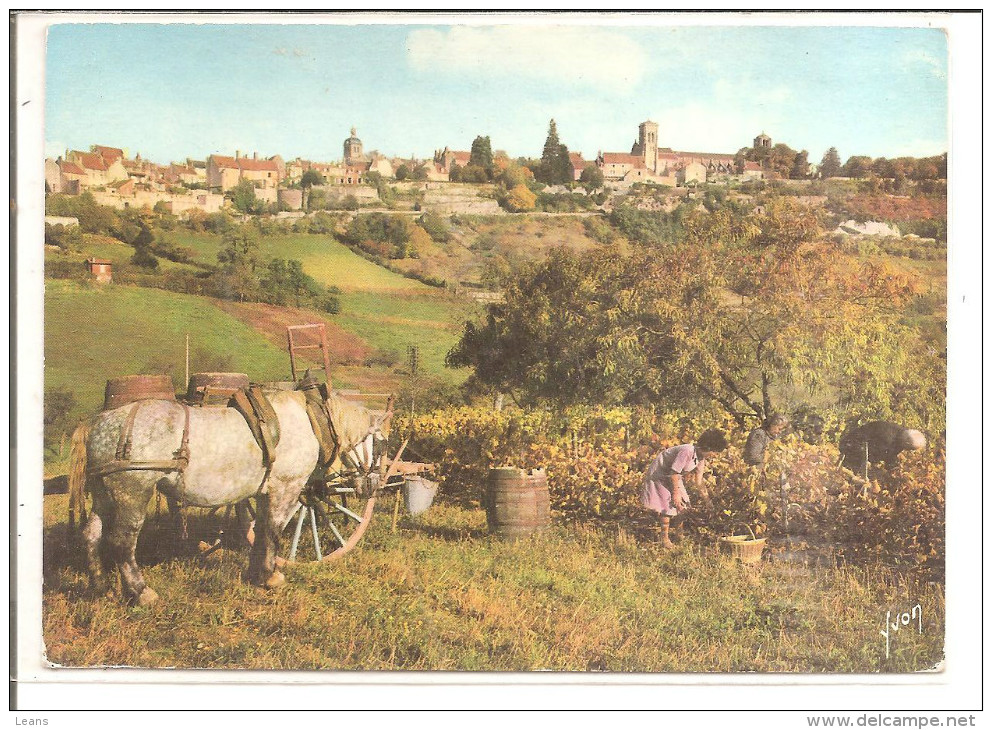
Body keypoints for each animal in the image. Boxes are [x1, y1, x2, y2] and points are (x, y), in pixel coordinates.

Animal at [67, 386, 388, 604]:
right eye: (382, 444)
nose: (374, 485)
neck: (309, 420)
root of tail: (97, 423)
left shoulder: (264, 493)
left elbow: (260, 532)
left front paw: (256, 574)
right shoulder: (287, 488)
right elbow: (274, 532)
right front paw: (271, 577)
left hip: (104, 495)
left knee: (91, 535)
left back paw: (100, 587)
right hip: (132, 493)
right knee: (122, 542)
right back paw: (140, 592)